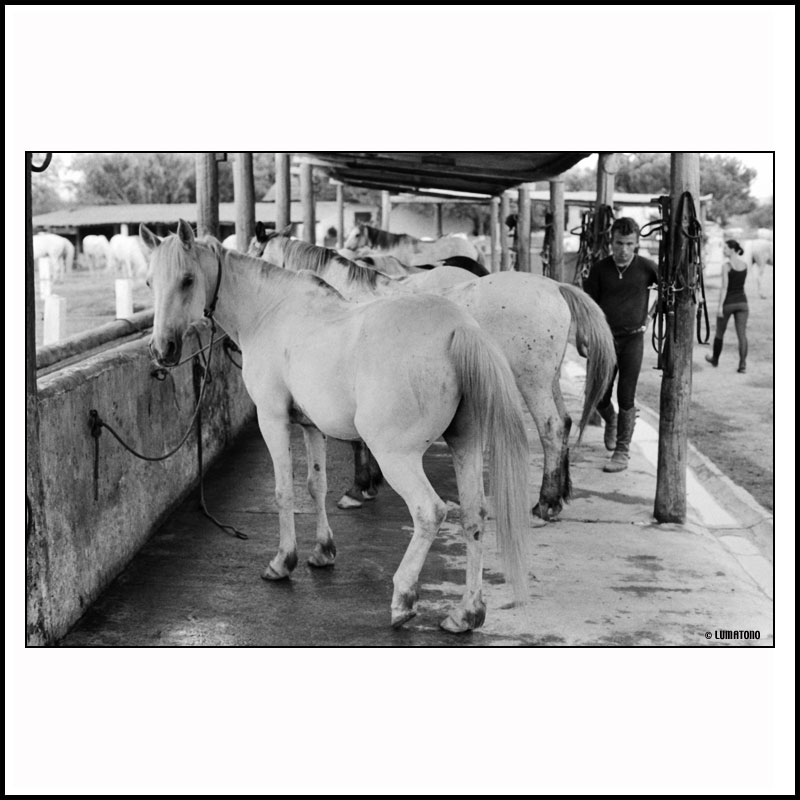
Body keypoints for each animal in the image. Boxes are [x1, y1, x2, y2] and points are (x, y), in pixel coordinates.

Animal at [253, 232, 616, 521]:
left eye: (258, 255)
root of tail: (555, 286)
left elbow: (357, 441)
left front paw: (359, 488)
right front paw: (368, 484)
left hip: (532, 382)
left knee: (551, 429)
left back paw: (546, 503)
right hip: (548, 380)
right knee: (565, 422)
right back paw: (561, 493)